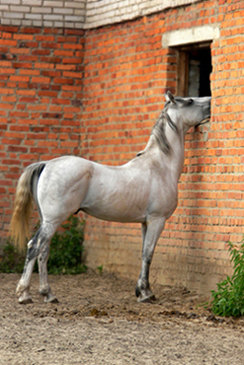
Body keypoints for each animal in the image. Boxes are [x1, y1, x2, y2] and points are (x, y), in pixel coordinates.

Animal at [10, 91, 211, 302]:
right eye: (189, 100)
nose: (211, 101)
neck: (160, 166)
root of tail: (47, 164)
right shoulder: (157, 220)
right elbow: (149, 254)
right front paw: (146, 293)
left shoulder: (145, 222)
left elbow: (143, 253)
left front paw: (140, 291)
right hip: (52, 220)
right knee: (34, 247)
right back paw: (24, 294)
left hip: (47, 221)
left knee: (43, 251)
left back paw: (48, 294)